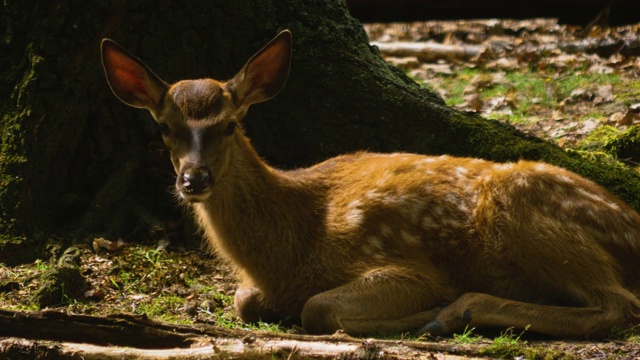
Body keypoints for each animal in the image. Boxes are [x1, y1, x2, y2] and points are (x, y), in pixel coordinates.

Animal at [101, 30, 640, 338]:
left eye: (231, 124)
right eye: (164, 127)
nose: (194, 179)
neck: (292, 246)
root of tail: (631, 224)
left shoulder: (403, 265)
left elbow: (317, 307)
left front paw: (422, 313)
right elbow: (244, 299)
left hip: (529, 212)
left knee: (618, 305)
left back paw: (451, 313)